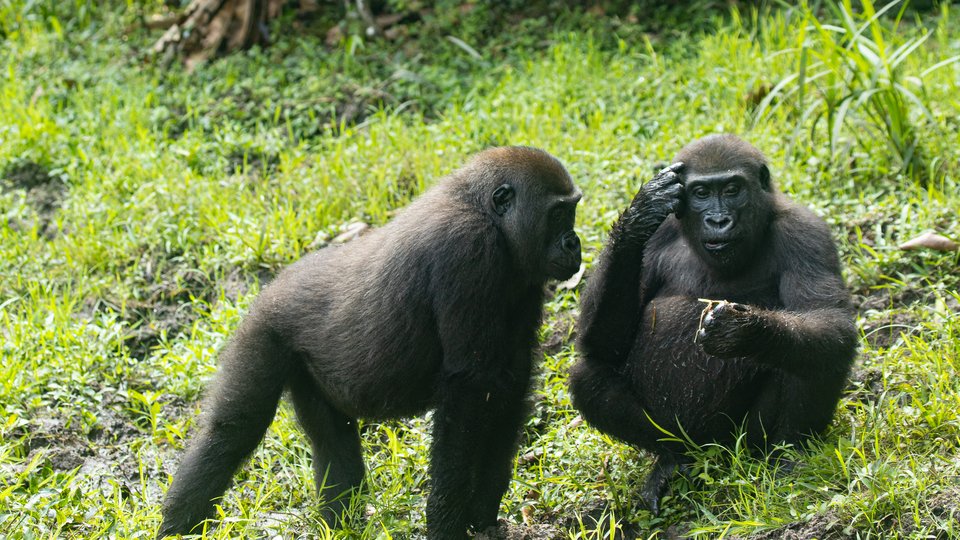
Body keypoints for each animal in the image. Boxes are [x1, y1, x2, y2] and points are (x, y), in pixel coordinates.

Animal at [158, 146, 582, 538]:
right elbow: (469, 393)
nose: (574, 243)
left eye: (572, 210)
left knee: (331, 441)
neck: (485, 213)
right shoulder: (468, 249)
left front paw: (482, 512)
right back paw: (178, 525)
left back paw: (340, 524)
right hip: (265, 329)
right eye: (559, 214)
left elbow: (510, 387)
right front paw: (446, 521)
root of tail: (272, 285)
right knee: (231, 432)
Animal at [569, 134, 856, 514]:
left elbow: (830, 321)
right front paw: (638, 216)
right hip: (690, 440)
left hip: (740, 444)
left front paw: (746, 331)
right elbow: (603, 342)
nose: (718, 220)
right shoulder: (660, 235)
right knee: (589, 376)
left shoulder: (806, 233)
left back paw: (788, 454)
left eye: (732, 189)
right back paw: (672, 460)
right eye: (701, 193)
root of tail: (711, 453)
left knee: (812, 355)